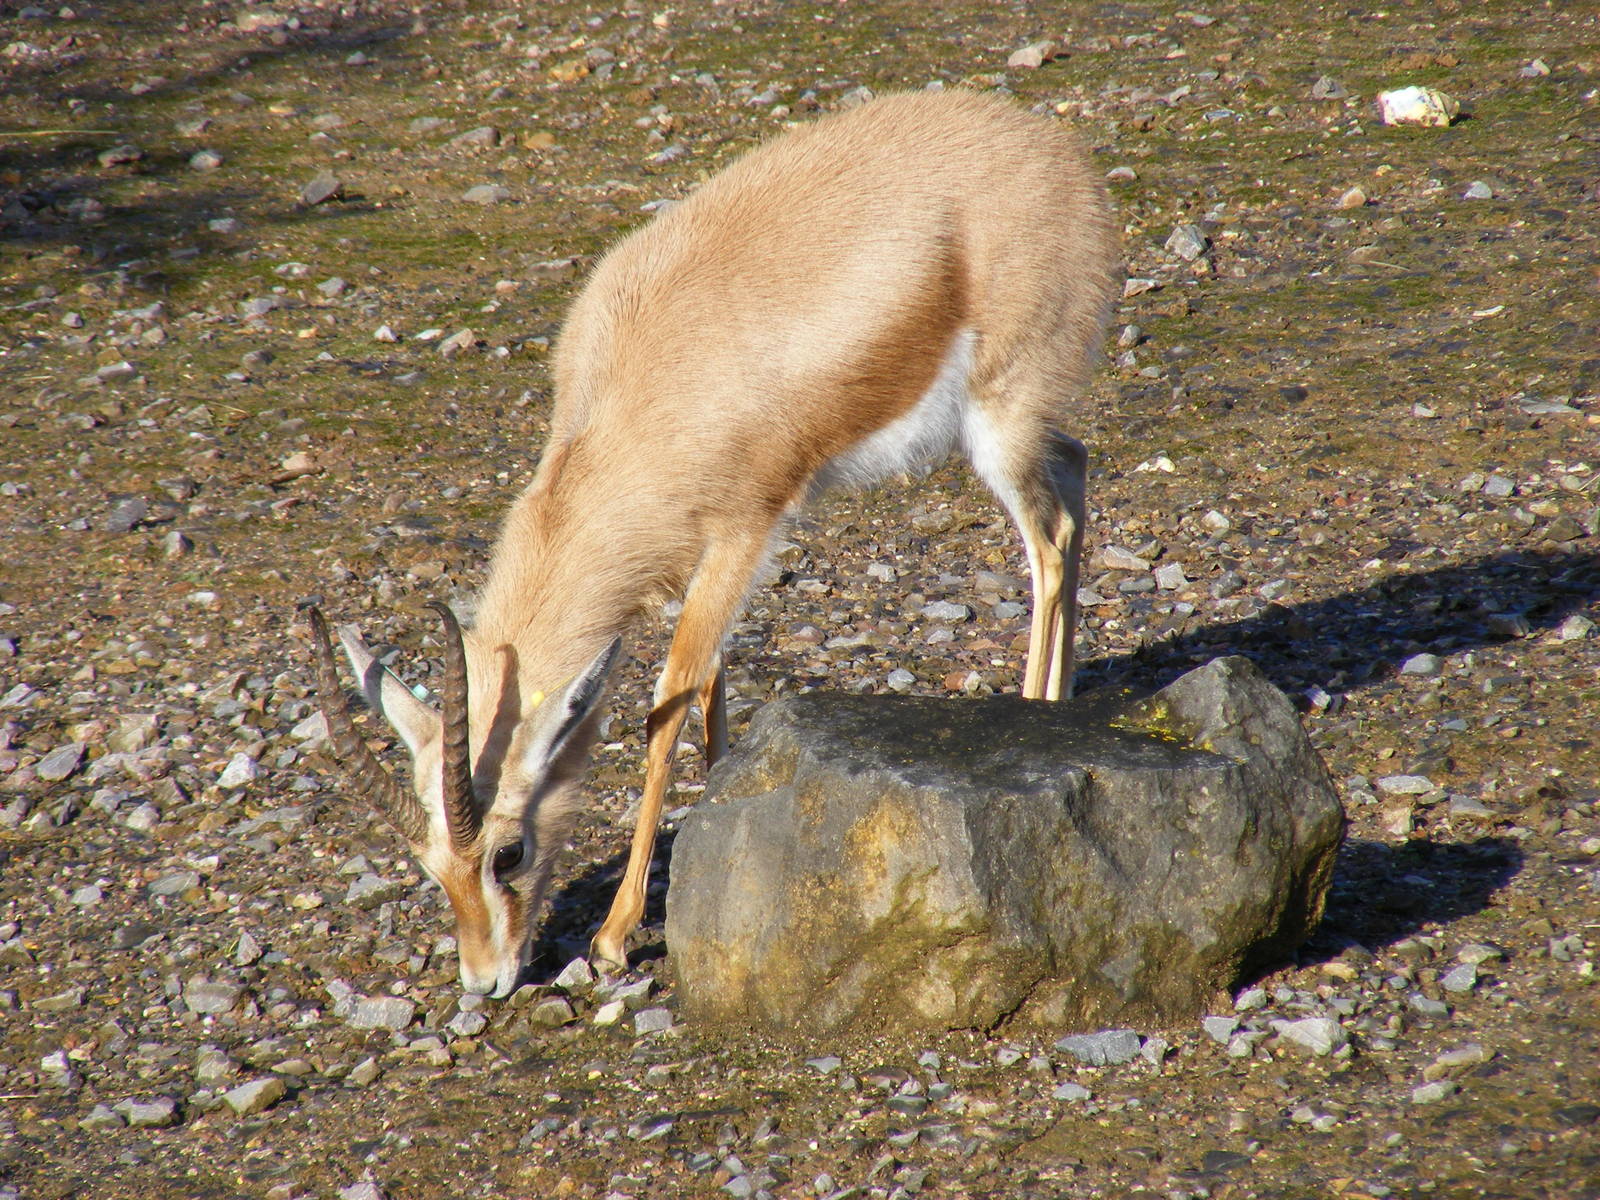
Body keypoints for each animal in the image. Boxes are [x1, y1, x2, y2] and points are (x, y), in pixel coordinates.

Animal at [307, 89, 1121, 996]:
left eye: (507, 853)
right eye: (430, 866)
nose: (485, 980)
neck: (637, 397)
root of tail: (1051, 146)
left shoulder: (745, 532)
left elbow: (671, 699)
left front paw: (616, 934)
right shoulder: (703, 558)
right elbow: (712, 696)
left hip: (1000, 419)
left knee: (1047, 541)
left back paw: (1038, 716)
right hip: (1027, 432)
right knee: (1076, 473)